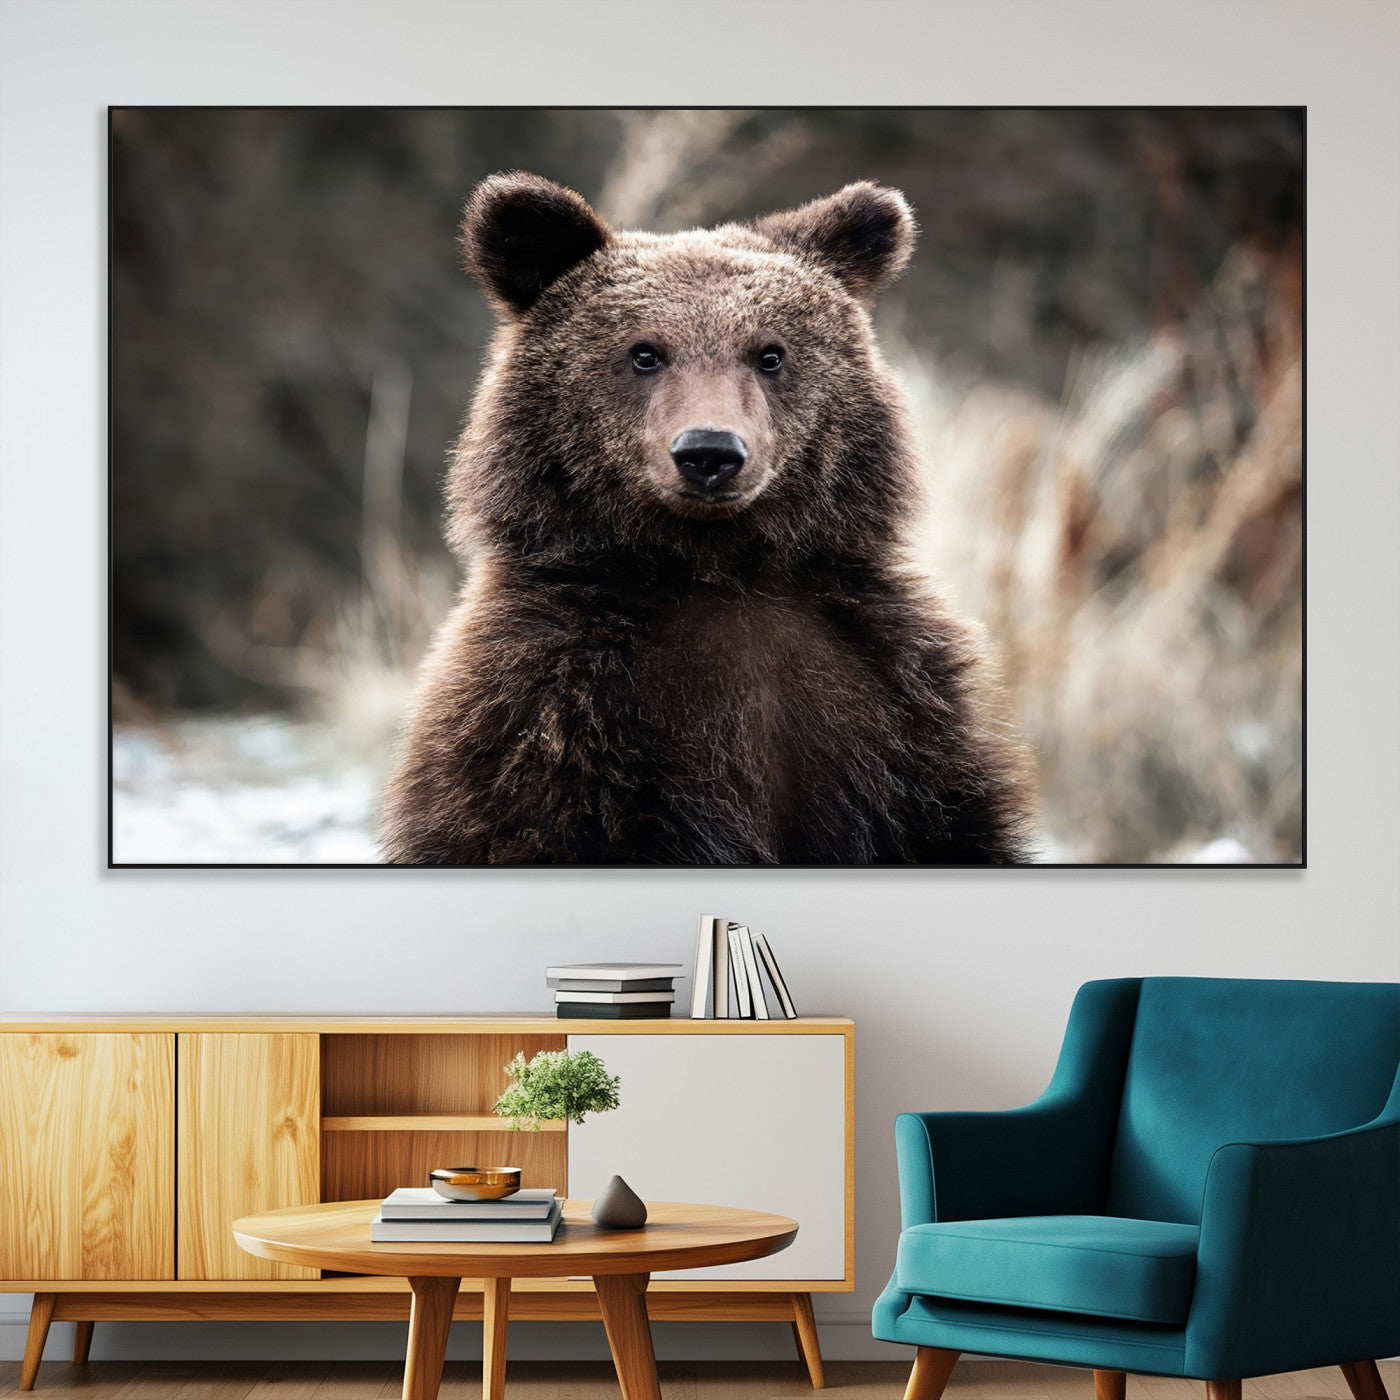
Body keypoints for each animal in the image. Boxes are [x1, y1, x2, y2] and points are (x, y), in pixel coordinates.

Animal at [379, 172, 1034, 865]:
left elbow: (948, 822)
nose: (710, 452)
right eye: (644, 352)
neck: (718, 568)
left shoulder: (897, 710)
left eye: (770, 354)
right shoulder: (547, 716)